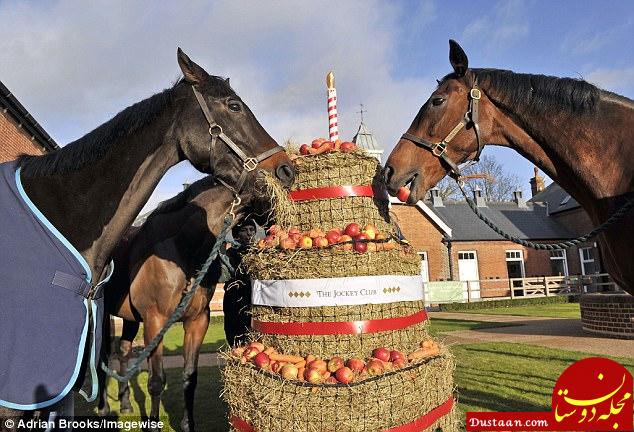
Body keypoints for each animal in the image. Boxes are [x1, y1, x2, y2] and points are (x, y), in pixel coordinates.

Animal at [95, 176, 260, 432]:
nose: (252, 236)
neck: (182, 252)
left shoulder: (197, 321)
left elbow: (190, 376)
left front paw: (187, 425)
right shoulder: (155, 321)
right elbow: (156, 380)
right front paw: (152, 425)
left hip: (130, 318)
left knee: (123, 353)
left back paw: (125, 405)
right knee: (101, 359)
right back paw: (103, 410)